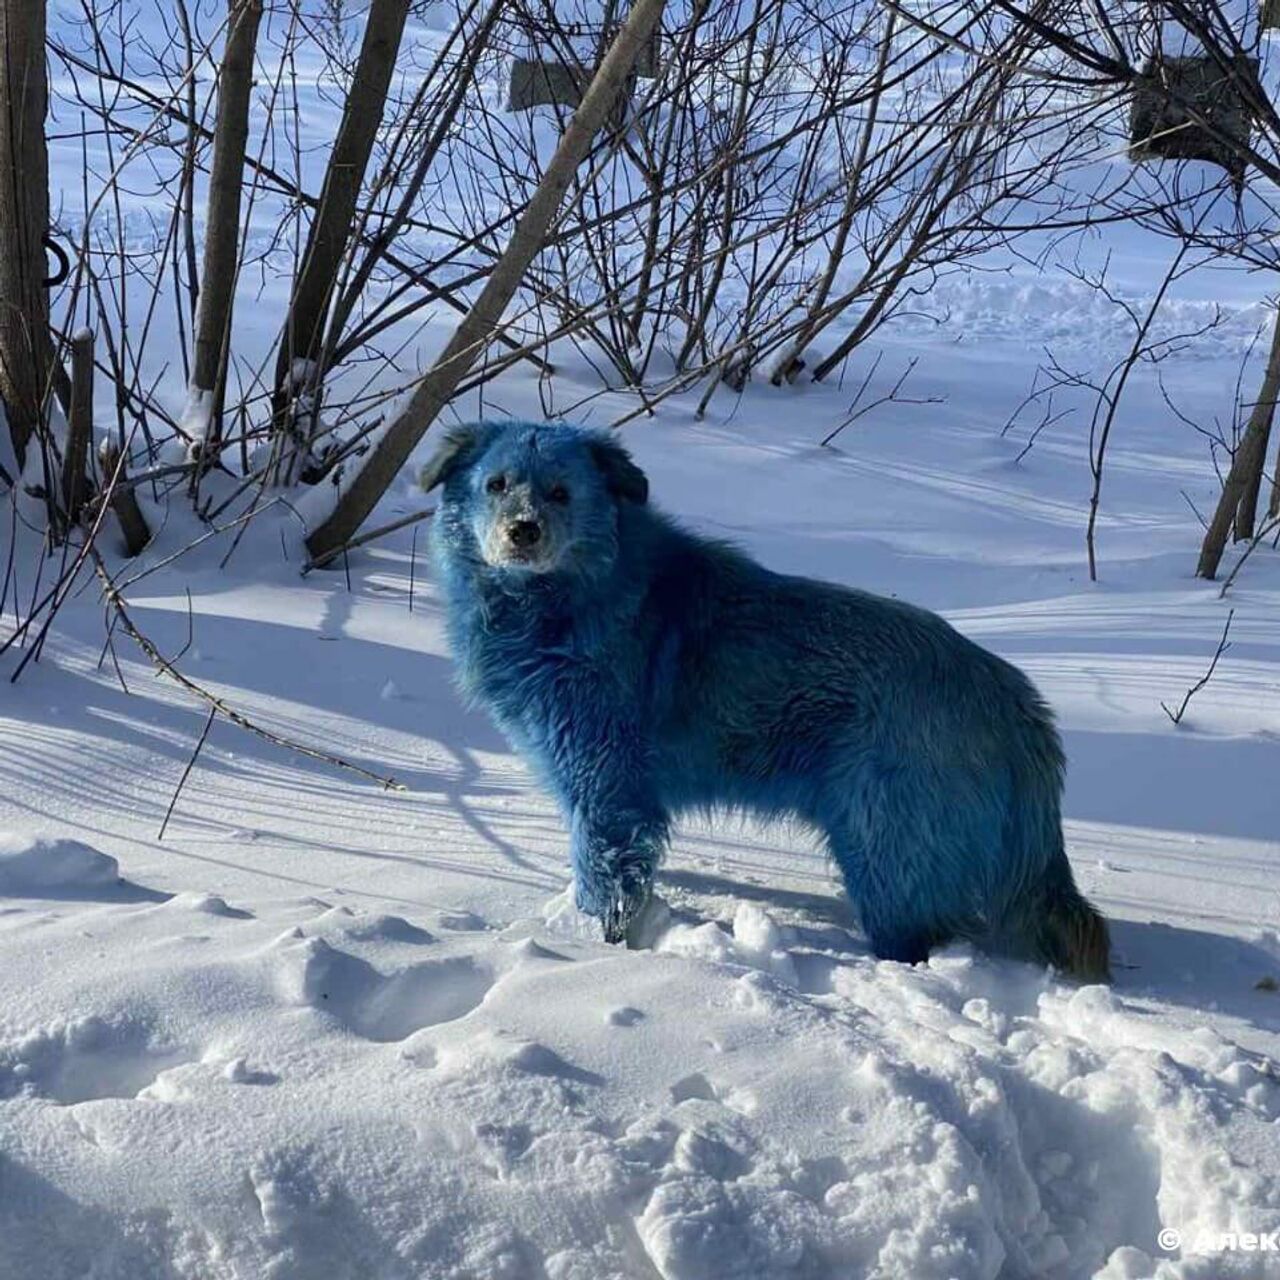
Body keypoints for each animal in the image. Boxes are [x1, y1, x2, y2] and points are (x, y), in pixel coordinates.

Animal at [422, 419, 1111, 977]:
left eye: (561, 492)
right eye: (496, 484)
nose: (523, 532)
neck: (578, 596)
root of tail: (1017, 705)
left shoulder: (607, 789)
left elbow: (606, 878)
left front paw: (593, 948)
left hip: (882, 850)